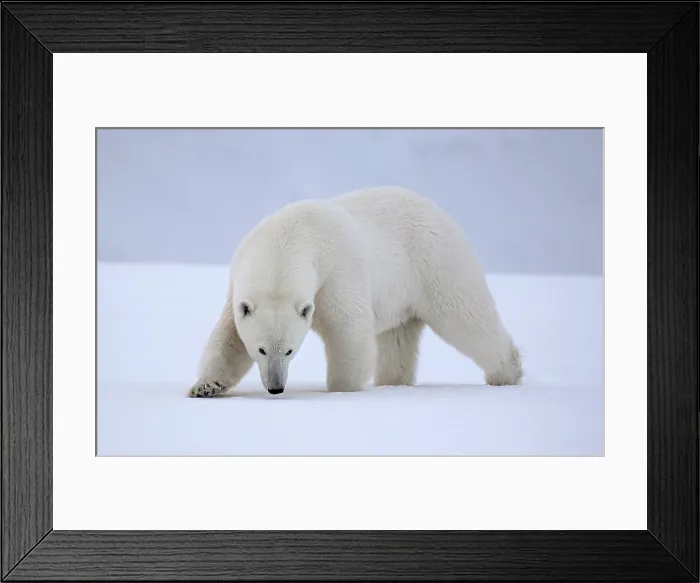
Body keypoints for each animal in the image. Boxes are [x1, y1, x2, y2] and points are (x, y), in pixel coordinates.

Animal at [188, 186, 523, 398]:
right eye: (260, 350)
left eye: (290, 350)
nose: (276, 387)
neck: (290, 237)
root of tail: (439, 211)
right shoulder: (239, 287)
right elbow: (228, 337)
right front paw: (204, 387)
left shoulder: (336, 273)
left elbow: (347, 331)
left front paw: (342, 390)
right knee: (397, 340)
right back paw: (392, 383)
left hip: (436, 263)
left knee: (465, 315)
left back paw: (508, 372)